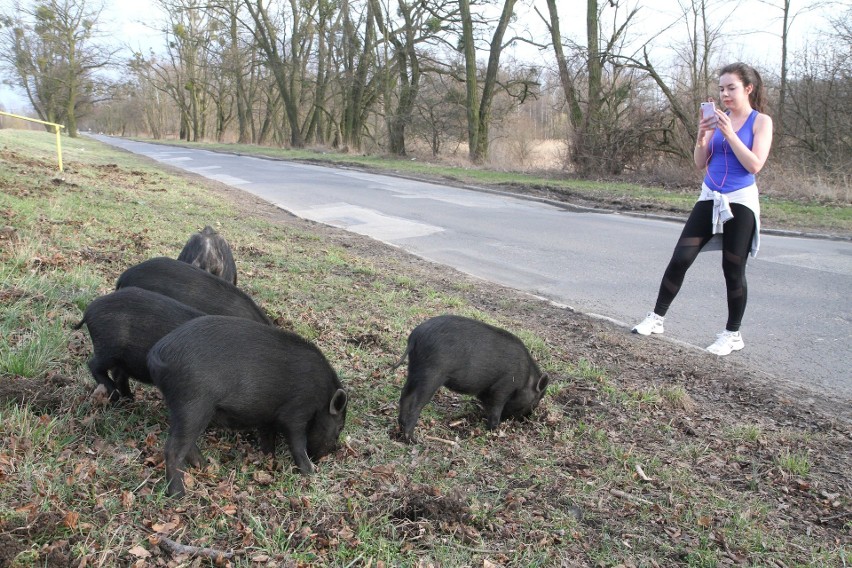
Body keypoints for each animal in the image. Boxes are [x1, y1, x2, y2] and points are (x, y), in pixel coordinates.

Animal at [75, 286, 207, 402]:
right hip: (108, 349)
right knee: (93, 365)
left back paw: (129, 400)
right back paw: (116, 396)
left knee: (118, 375)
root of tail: (89, 310)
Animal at [148, 316, 348, 496]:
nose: (321, 458)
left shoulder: (269, 418)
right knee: (173, 449)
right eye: (339, 427)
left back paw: (208, 467)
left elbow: (268, 438)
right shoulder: (296, 412)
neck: (322, 398)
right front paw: (310, 473)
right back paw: (179, 494)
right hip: (193, 404)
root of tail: (157, 355)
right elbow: (297, 442)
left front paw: (270, 460)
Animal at [392, 318, 548, 442]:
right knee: (416, 403)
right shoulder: (503, 387)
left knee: (404, 395)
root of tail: (415, 336)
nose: (526, 419)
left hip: (414, 369)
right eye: (537, 399)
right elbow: (496, 409)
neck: (525, 379)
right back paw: (413, 440)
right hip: (432, 374)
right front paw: (493, 429)